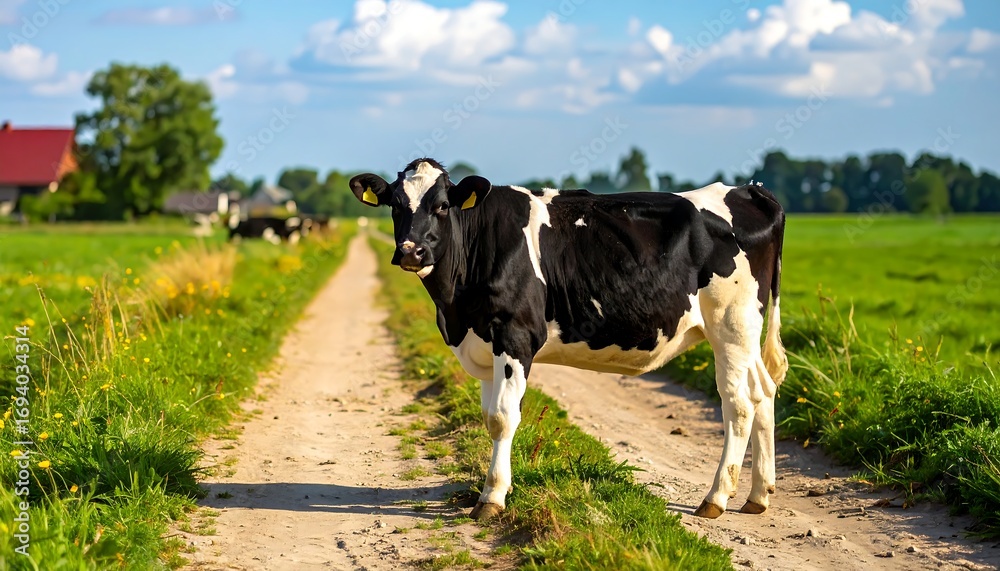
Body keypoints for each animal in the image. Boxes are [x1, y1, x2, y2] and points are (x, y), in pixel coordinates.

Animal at [349, 158, 788, 520]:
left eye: (442, 205)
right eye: (395, 205)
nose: (411, 251)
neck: (455, 306)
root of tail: (747, 190)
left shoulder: (515, 335)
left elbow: (503, 417)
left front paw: (492, 498)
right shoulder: (483, 343)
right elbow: (489, 417)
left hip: (731, 324)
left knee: (738, 404)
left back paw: (716, 498)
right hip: (745, 332)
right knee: (764, 390)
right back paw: (758, 496)